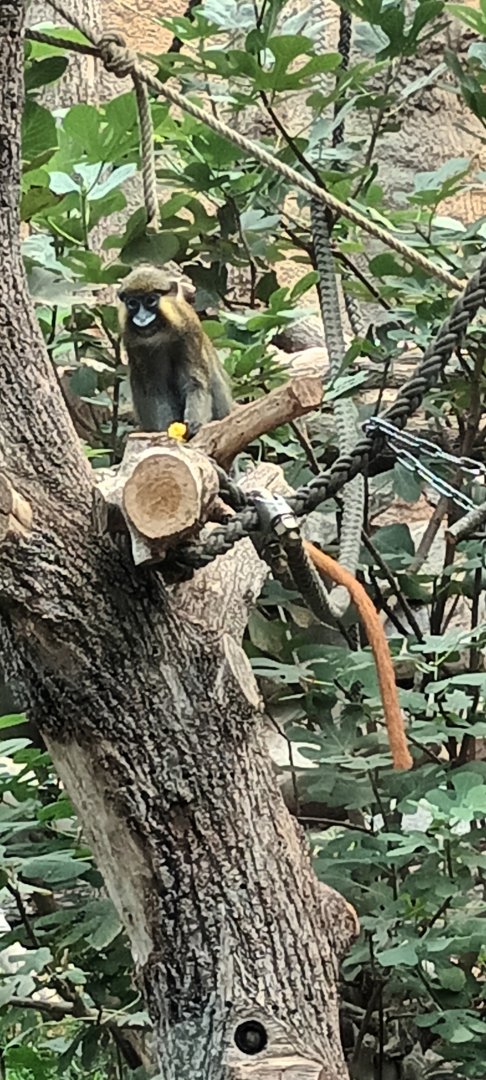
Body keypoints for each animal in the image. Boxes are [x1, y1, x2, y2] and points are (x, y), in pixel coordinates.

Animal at [117, 265, 232, 436]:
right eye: (132, 303)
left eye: (150, 300)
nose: (142, 318)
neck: (160, 332)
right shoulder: (134, 343)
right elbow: (155, 391)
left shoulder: (189, 331)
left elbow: (195, 382)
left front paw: (194, 424)